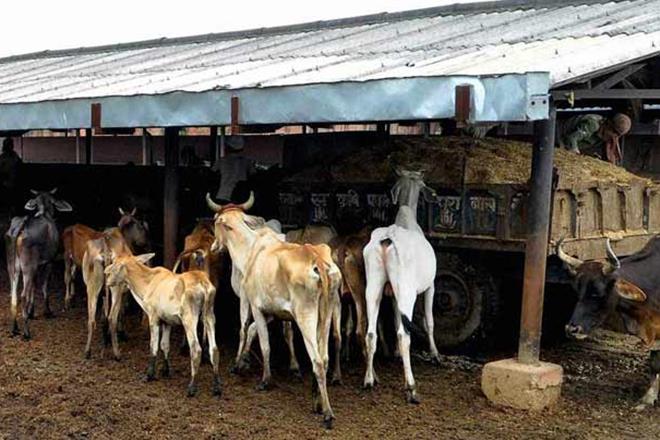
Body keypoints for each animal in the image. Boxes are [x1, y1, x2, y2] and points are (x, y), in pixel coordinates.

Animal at [5, 188, 72, 339]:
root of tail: (22, 225)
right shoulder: (49, 262)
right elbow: (44, 286)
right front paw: (47, 311)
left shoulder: (37, 266)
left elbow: (34, 287)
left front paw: (31, 312)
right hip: (27, 267)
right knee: (22, 295)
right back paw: (26, 332)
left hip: (13, 267)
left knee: (14, 295)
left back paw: (14, 328)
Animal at [104, 252, 221, 398]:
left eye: (115, 264)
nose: (106, 277)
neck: (146, 285)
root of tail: (204, 284)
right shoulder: (167, 322)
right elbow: (165, 345)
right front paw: (166, 371)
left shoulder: (154, 317)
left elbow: (153, 346)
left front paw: (149, 375)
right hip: (209, 316)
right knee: (214, 350)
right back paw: (217, 387)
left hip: (189, 319)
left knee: (196, 349)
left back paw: (192, 387)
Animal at [207, 192, 341, 429]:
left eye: (216, 223)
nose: (214, 246)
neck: (250, 249)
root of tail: (317, 259)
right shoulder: (273, 311)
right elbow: (252, 330)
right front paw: (243, 362)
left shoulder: (254, 305)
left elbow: (256, 337)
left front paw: (262, 378)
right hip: (325, 317)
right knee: (324, 358)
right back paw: (316, 400)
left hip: (306, 317)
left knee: (316, 360)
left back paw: (327, 412)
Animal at [362, 170, 440, 404]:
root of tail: (388, 238)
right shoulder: (431, 286)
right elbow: (429, 321)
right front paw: (435, 354)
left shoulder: (392, 293)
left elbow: (397, 316)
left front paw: (396, 354)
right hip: (407, 291)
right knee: (404, 334)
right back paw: (411, 388)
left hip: (374, 286)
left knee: (370, 333)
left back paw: (369, 380)